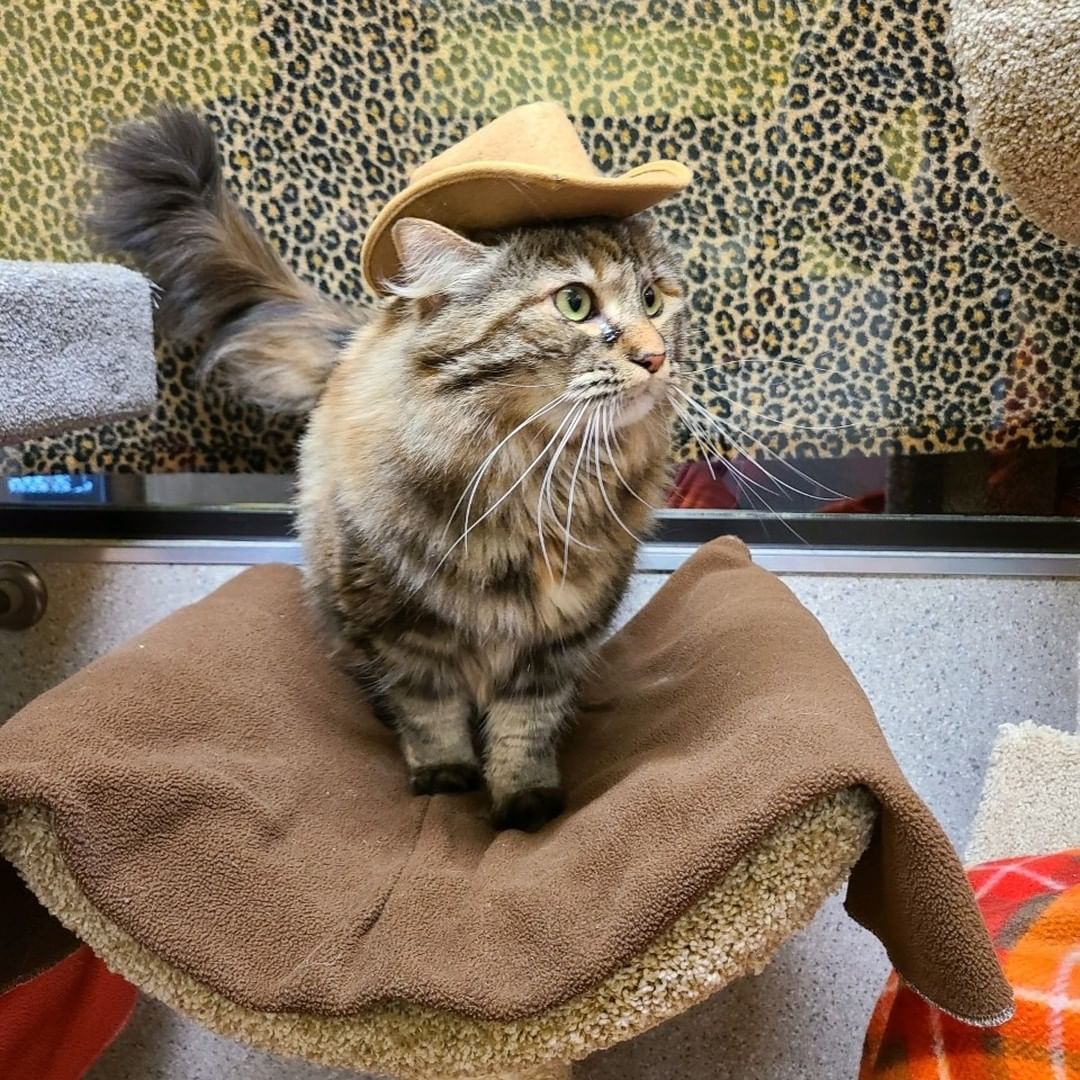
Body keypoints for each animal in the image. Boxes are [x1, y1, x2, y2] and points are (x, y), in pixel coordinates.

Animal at [88, 109, 686, 829]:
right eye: (574, 303)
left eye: (653, 300)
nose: (656, 357)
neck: (534, 478)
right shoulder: (398, 631)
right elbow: (430, 714)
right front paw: (445, 778)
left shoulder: (556, 643)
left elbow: (526, 726)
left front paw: (522, 802)